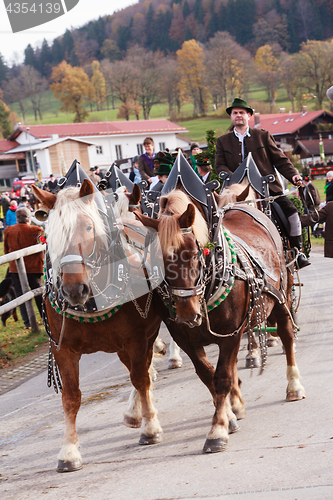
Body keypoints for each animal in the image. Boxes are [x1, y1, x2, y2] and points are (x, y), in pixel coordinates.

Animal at [31, 181, 163, 472]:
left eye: (88, 227)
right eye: (50, 233)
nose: (73, 289)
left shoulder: (136, 339)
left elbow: (140, 378)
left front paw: (150, 427)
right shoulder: (63, 349)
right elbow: (71, 397)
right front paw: (68, 451)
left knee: (142, 373)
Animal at [134, 188, 304, 454]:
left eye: (196, 254)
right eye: (158, 261)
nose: (187, 313)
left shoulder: (232, 332)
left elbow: (222, 377)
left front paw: (218, 430)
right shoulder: (185, 339)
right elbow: (208, 375)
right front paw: (230, 415)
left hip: (280, 298)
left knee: (286, 335)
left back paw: (294, 386)